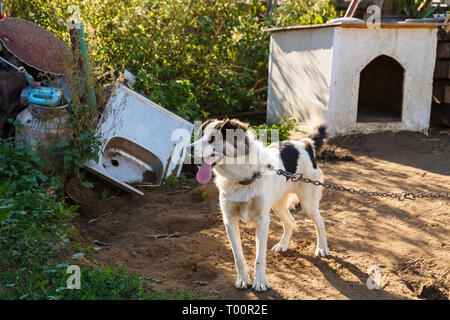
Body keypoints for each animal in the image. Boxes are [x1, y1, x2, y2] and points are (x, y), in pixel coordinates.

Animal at [188, 119, 328, 292]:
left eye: (213, 138)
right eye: (201, 135)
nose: (188, 148)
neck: (242, 177)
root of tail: (304, 143)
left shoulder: (262, 221)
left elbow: (260, 257)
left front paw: (260, 281)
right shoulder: (229, 221)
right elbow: (238, 256)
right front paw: (243, 279)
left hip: (307, 203)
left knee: (320, 222)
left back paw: (322, 248)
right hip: (277, 204)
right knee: (290, 221)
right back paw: (283, 244)